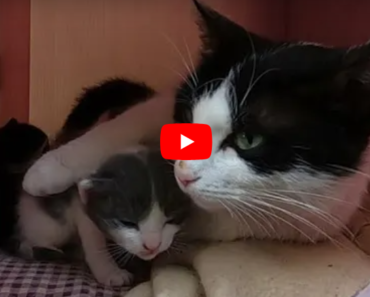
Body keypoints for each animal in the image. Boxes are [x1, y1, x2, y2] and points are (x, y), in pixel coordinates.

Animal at [17, 147, 191, 284]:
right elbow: (94, 242)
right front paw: (111, 273)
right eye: (127, 222)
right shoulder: (81, 207)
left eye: (171, 219)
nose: (152, 246)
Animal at [22, 0, 370, 243]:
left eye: (249, 139)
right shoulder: (160, 106)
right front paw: (48, 169)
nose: (182, 171)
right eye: (189, 116)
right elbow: (124, 125)